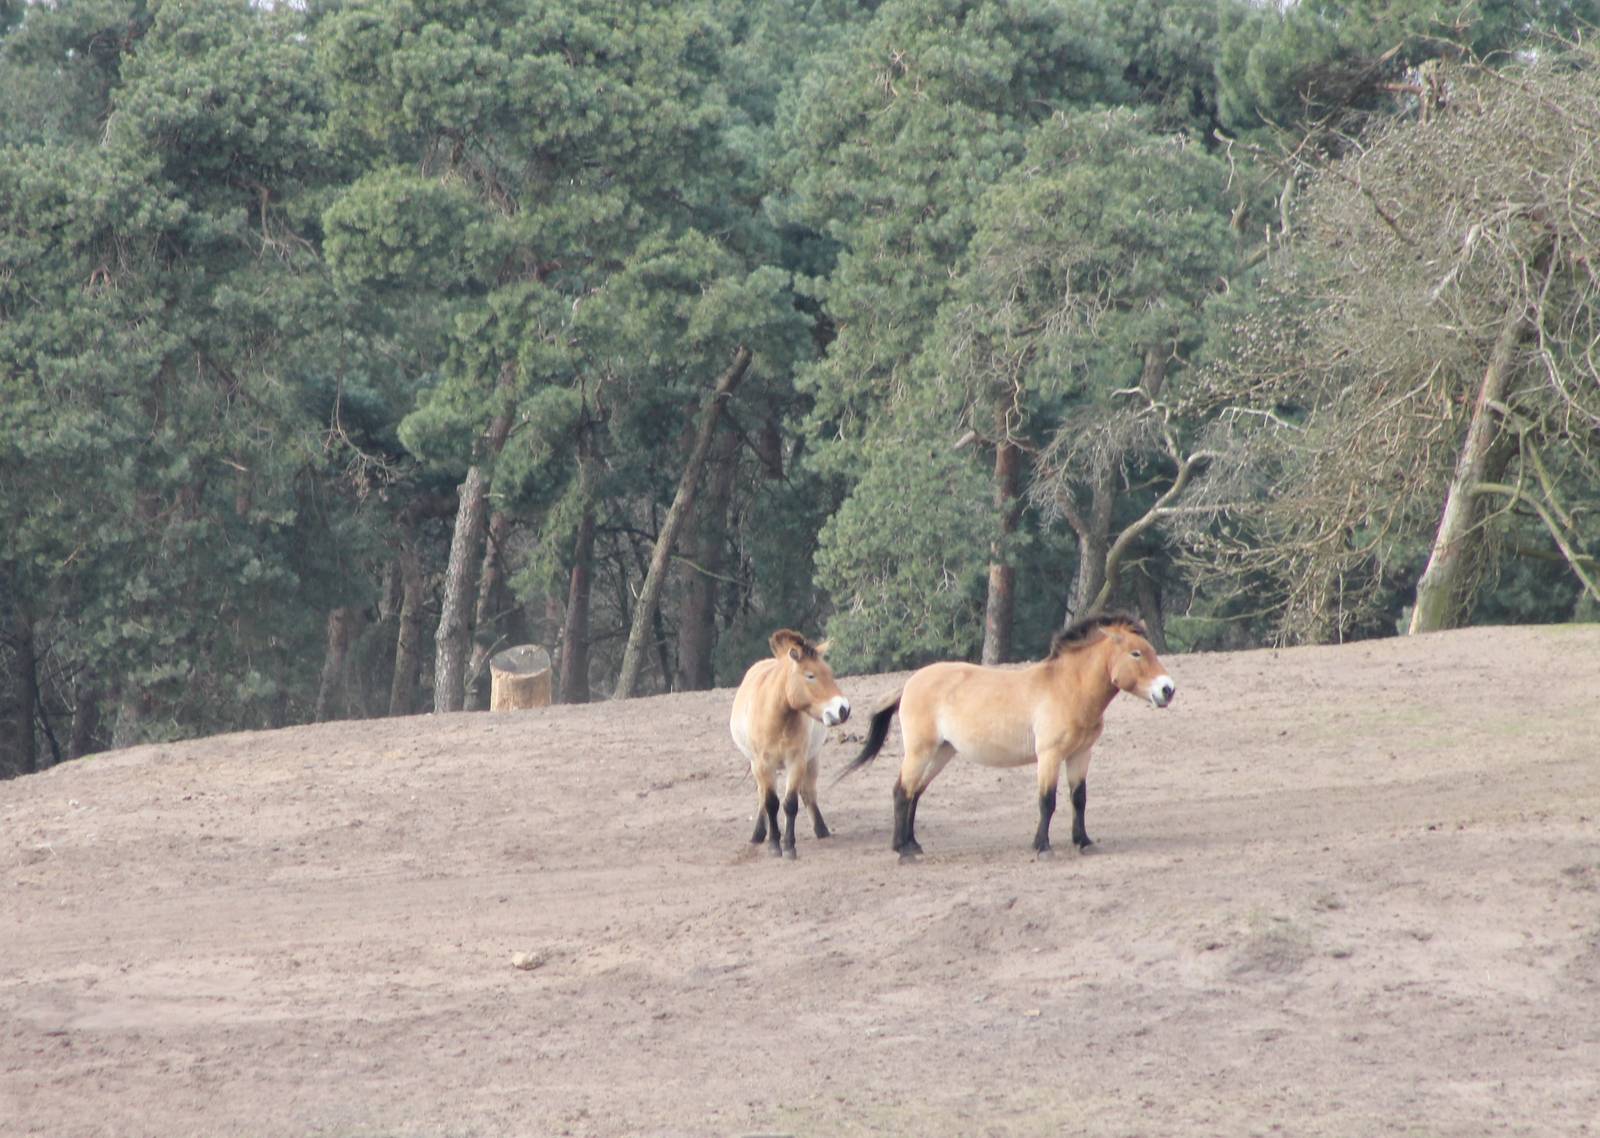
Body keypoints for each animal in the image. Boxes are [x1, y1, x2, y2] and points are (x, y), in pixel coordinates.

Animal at [729, 629, 852, 858]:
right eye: (810, 675)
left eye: (830, 672)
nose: (843, 709)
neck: (776, 717)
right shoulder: (763, 765)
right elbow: (771, 803)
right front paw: (774, 845)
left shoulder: (797, 762)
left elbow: (790, 804)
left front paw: (789, 846)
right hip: (758, 767)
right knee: (763, 796)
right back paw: (759, 834)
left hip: (812, 759)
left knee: (808, 792)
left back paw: (821, 829)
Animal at [838, 613, 1175, 860]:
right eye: (1136, 653)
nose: (1167, 690)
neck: (1067, 687)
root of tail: (909, 683)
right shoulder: (1049, 756)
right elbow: (1047, 801)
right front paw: (1042, 847)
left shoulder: (1081, 754)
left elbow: (1079, 799)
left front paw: (1084, 841)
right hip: (920, 752)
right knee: (901, 791)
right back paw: (902, 850)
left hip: (941, 753)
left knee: (915, 793)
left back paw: (913, 845)